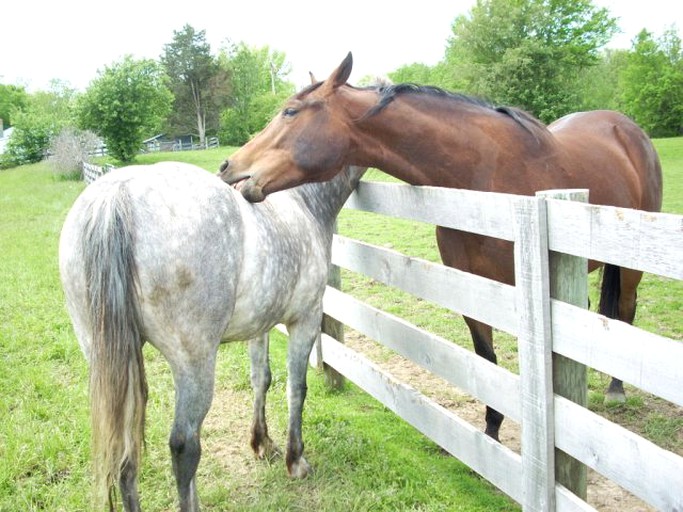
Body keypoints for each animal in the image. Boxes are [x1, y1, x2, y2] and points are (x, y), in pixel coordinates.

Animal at [59, 162, 368, 510]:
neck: (303, 204)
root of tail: (116, 196)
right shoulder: (306, 319)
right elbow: (296, 389)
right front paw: (295, 460)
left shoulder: (259, 326)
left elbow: (261, 379)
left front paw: (262, 444)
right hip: (194, 362)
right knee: (184, 445)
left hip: (109, 362)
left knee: (126, 454)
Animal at [218, 54, 664, 442]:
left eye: (291, 112)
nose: (227, 168)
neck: (483, 178)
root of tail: (625, 128)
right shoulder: (471, 287)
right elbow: (486, 359)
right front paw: (491, 432)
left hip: (630, 264)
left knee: (625, 311)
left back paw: (616, 388)